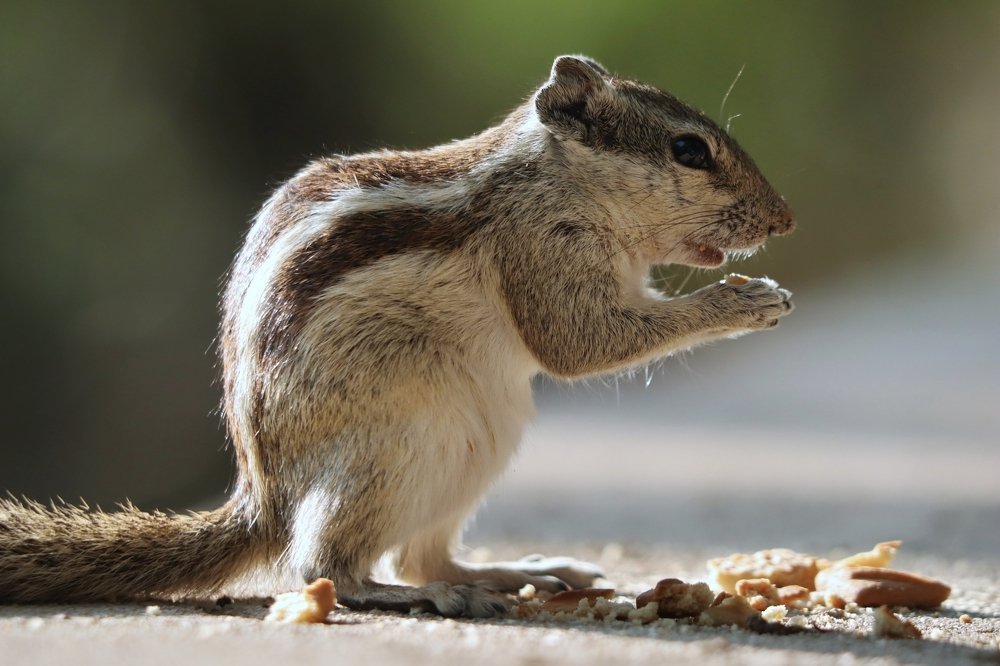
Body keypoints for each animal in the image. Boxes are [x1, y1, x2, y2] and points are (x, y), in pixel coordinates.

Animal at [0, 55, 794, 617]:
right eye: (689, 150)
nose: (783, 219)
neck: (550, 182)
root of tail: (265, 499)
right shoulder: (542, 250)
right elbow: (579, 344)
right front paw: (745, 300)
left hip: (476, 443)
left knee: (420, 554)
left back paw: (516, 571)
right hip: (395, 444)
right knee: (325, 567)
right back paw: (420, 594)